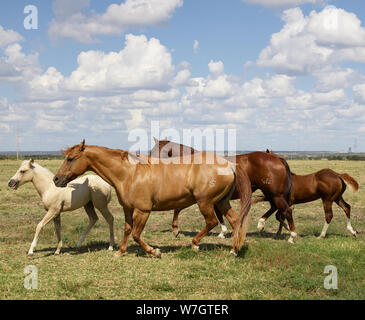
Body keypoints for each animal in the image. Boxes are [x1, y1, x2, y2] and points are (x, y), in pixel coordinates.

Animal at [54, 140, 252, 258]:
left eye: (71, 159)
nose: (56, 179)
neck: (129, 173)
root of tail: (229, 165)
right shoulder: (128, 209)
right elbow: (127, 230)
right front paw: (120, 251)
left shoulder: (143, 210)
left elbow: (136, 234)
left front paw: (154, 251)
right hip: (222, 202)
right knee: (235, 221)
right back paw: (234, 249)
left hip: (206, 202)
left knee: (212, 222)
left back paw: (195, 244)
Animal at [149, 138, 294, 242]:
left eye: (153, 151)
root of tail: (278, 158)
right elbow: (220, 213)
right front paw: (224, 231)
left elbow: (177, 208)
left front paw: (175, 229)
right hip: (271, 193)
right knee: (275, 207)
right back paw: (262, 224)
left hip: (275, 193)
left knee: (286, 210)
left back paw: (291, 235)